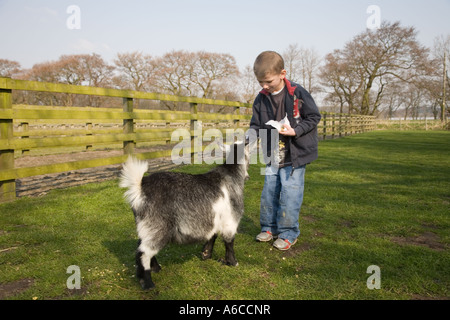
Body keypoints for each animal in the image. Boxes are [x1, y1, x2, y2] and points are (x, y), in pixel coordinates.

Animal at [119, 142, 250, 290]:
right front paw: (233, 262)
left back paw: (155, 268)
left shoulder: (215, 218)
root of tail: (140, 188)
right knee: (144, 252)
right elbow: (229, 241)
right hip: (157, 226)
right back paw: (148, 283)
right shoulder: (230, 220)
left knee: (140, 245)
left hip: (145, 226)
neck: (231, 175)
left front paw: (206, 254)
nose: (247, 176)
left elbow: (213, 235)